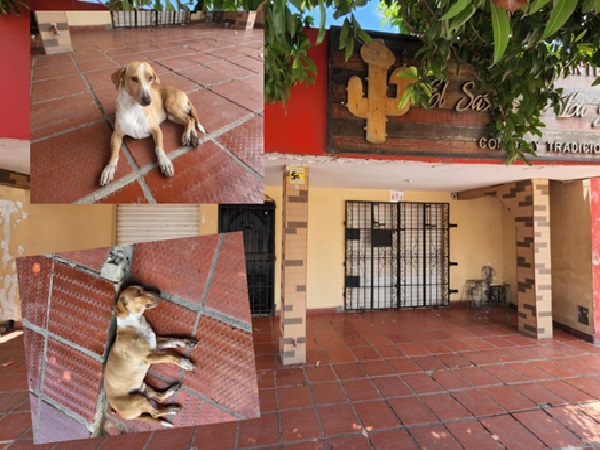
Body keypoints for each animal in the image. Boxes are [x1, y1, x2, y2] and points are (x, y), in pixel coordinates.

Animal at [103, 284, 197, 426]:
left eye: (142, 288)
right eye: (138, 293)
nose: (158, 292)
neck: (136, 323)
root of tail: (116, 409)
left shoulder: (156, 342)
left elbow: (173, 340)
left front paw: (188, 342)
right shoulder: (149, 356)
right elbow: (170, 357)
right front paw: (184, 362)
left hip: (143, 388)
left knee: (158, 398)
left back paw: (171, 395)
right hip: (138, 399)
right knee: (155, 413)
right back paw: (171, 410)